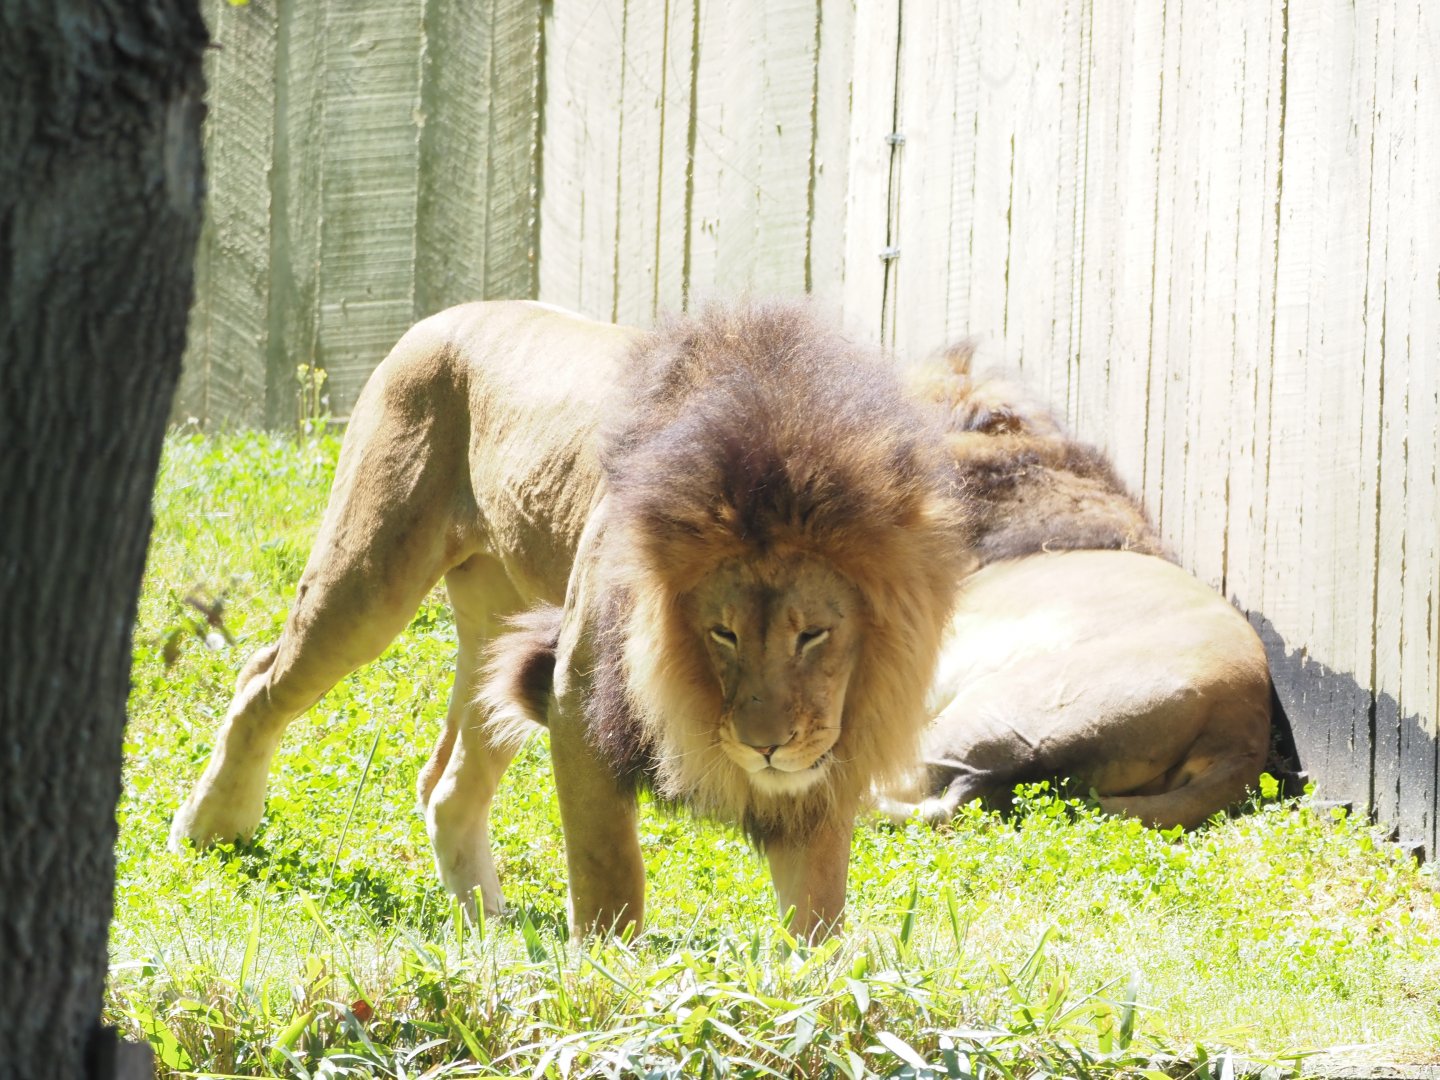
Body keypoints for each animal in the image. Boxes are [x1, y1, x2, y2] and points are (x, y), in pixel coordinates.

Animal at [170, 300, 970, 940]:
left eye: (814, 634)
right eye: (723, 633)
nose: (764, 746)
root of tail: (437, 317)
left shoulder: (825, 760)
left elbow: (819, 905)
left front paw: (812, 990)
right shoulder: (578, 696)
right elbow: (608, 869)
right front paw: (609, 981)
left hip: (492, 624)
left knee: (446, 783)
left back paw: (485, 925)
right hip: (367, 578)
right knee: (260, 679)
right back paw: (211, 828)